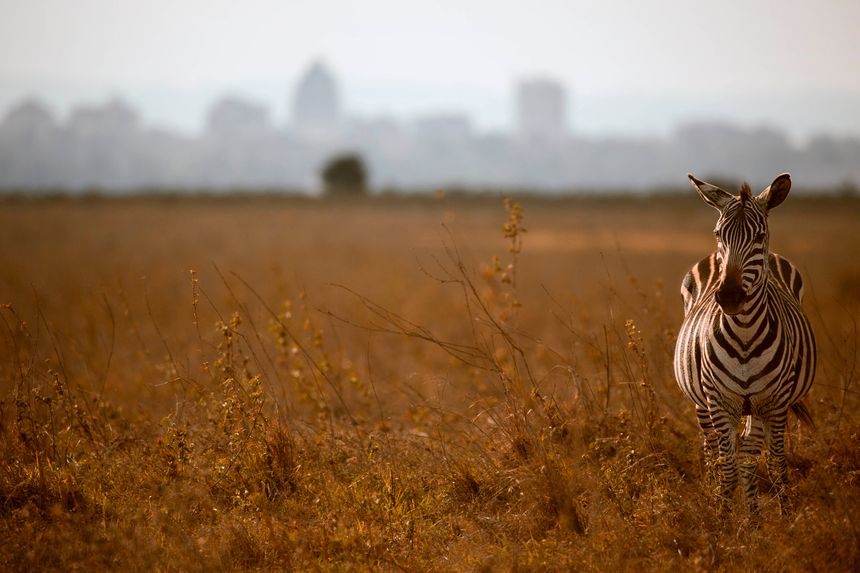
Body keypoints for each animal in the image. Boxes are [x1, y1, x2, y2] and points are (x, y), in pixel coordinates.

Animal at [673, 172, 816, 515]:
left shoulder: (775, 402)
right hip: (702, 403)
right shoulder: (719, 401)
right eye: (718, 233)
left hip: (758, 405)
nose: (729, 297)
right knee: (714, 453)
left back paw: (753, 519)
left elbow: (775, 463)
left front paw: (786, 520)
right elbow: (726, 467)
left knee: (750, 454)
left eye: (760, 235)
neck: (745, 334)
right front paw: (721, 519)